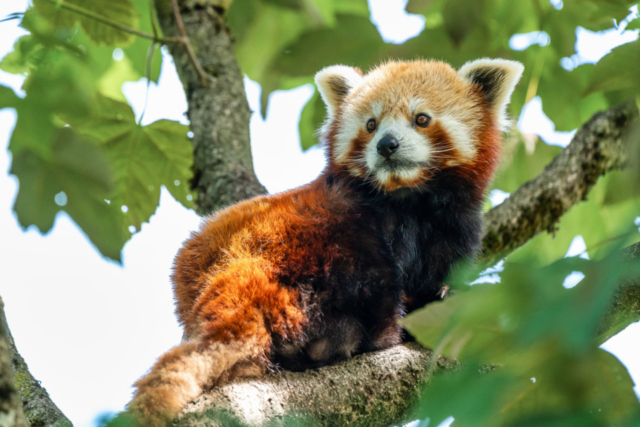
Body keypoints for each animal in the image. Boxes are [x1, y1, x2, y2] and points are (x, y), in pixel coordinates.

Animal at [126, 58, 524, 426]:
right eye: (371, 124)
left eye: (421, 118)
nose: (387, 145)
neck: (409, 200)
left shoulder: (455, 225)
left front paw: (442, 293)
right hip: (303, 238)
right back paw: (371, 333)